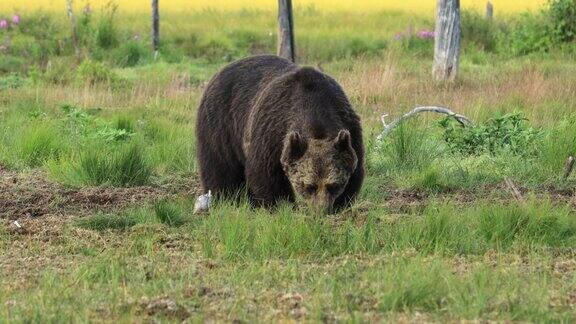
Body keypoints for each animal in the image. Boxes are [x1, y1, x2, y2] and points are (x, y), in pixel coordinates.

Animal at [196, 54, 362, 214]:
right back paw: (225, 197)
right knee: (220, 165)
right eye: (309, 186)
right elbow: (266, 175)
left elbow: (354, 172)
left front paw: (341, 203)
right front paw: (281, 205)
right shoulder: (272, 131)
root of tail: (221, 70)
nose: (321, 210)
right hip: (221, 123)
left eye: (333, 185)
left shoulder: (349, 126)